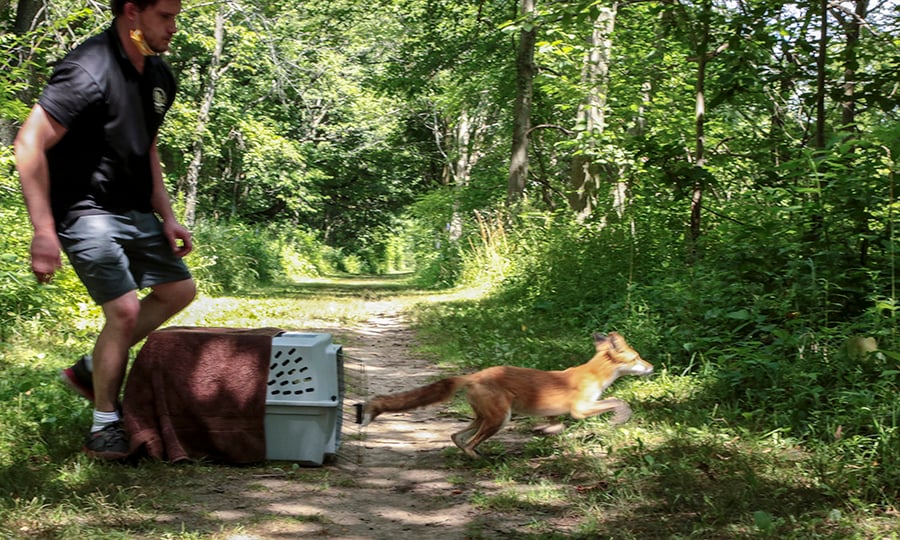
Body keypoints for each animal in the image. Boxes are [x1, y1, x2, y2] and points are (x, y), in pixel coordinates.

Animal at [358, 332, 653, 458]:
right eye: (637, 357)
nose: (652, 366)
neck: (593, 374)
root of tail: (473, 375)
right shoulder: (580, 408)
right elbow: (619, 402)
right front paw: (620, 417)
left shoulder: (561, 412)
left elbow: (555, 425)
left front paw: (545, 431)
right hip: (500, 419)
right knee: (469, 443)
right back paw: (480, 461)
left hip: (486, 417)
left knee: (456, 436)